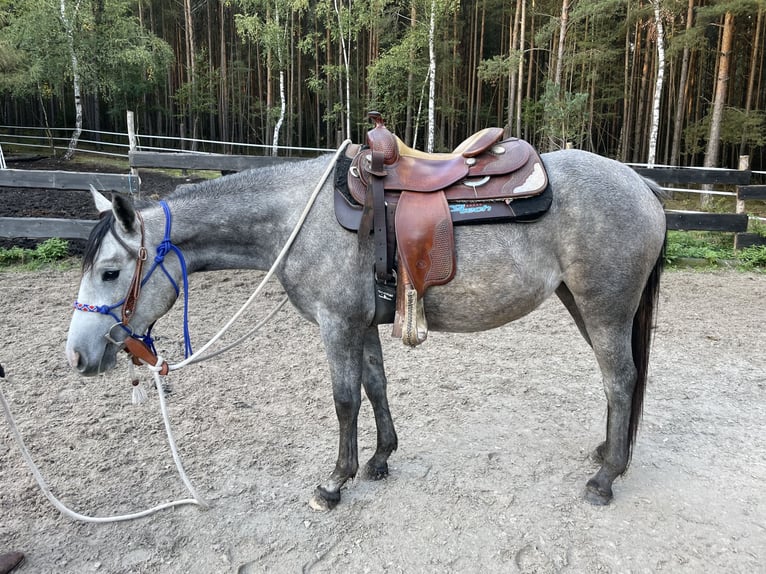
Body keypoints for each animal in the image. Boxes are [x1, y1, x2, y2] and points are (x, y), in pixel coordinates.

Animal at [64, 151, 664, 510]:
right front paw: (380, 460)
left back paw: (605, 478)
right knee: (621, 384)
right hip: (583, 306)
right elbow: (376, 386)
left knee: (620, 380)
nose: (78, 356)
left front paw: (334, 482)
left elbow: (344, 400)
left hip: (604, 310)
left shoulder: (336, 325)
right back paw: (608, 454)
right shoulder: (365, 324)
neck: (296, 220)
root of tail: (641, 183)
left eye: (110, 271)